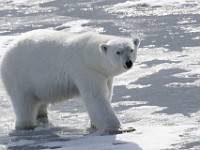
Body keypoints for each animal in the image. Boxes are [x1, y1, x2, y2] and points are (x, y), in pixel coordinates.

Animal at [0, 29, 140, 134]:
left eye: (131, 50)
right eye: (118, 52)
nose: (128, 63)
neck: (89, 55)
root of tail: (7, 50)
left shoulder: (104, 75)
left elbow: (107, 93)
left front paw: (93, 125)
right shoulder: (86, 70)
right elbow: (96, 97)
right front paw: (122, 128)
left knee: (39, 103)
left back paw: (42, 116)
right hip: (19, 75)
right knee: (24, 103)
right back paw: (26, 126)